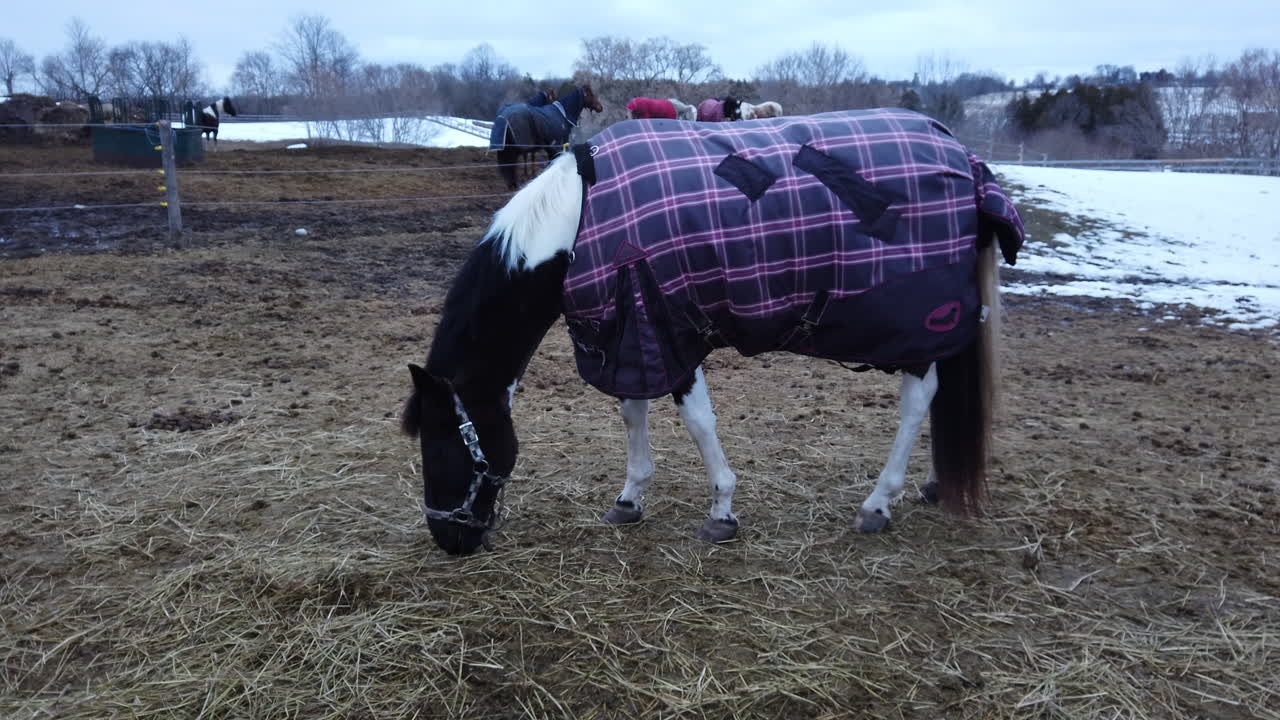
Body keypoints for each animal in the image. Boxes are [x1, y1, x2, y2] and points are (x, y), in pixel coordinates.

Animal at [402, 108, 1026, 556]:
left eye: (442, 445)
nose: (448, 540)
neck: (580, 218)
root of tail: (966, 160)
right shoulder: (629, 331)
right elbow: (632, 410)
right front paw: (630, 498)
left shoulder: (670, 328)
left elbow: (698, 423)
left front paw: (722, 511)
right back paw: (934, 485)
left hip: (919, 325)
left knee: (919, 399)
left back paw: (878, 502)